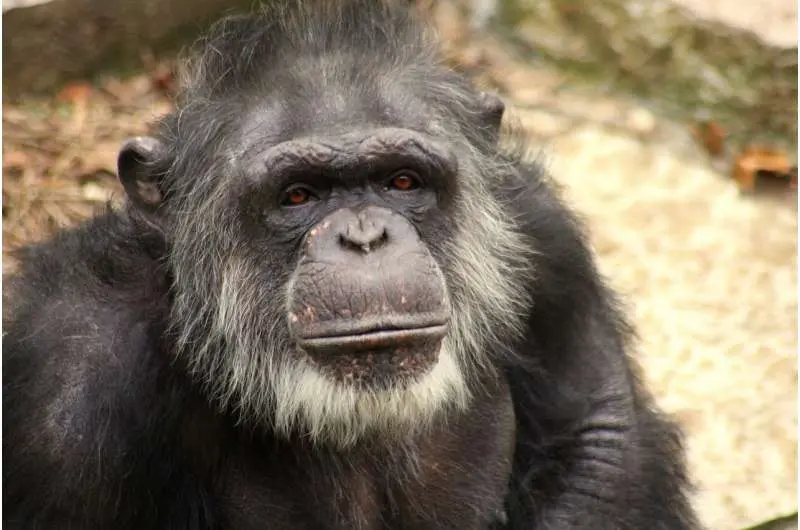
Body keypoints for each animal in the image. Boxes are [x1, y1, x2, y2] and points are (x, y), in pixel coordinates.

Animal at [2, 1, 699, 529]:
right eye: (297, 195)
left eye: (401, 180)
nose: (364, 236)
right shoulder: (67, 396)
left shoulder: (547, 238)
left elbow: (598, 443)